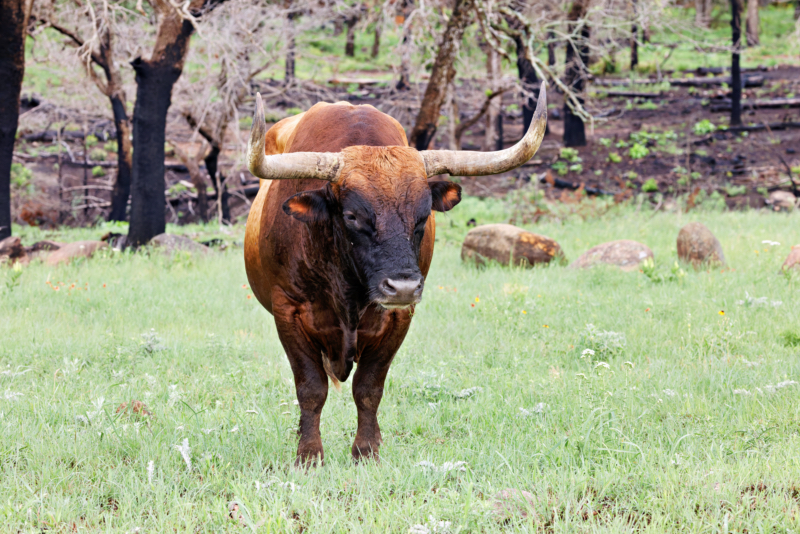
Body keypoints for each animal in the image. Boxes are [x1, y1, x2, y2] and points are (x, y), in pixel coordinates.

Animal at [244, 86, 544, 466]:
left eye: (423, 215)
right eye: (353, 216)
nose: (403, 286)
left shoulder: (399, 318)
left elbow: (368, 388)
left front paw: (366, 450)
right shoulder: (288, 311)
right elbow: (311, 389)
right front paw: (309, 455)